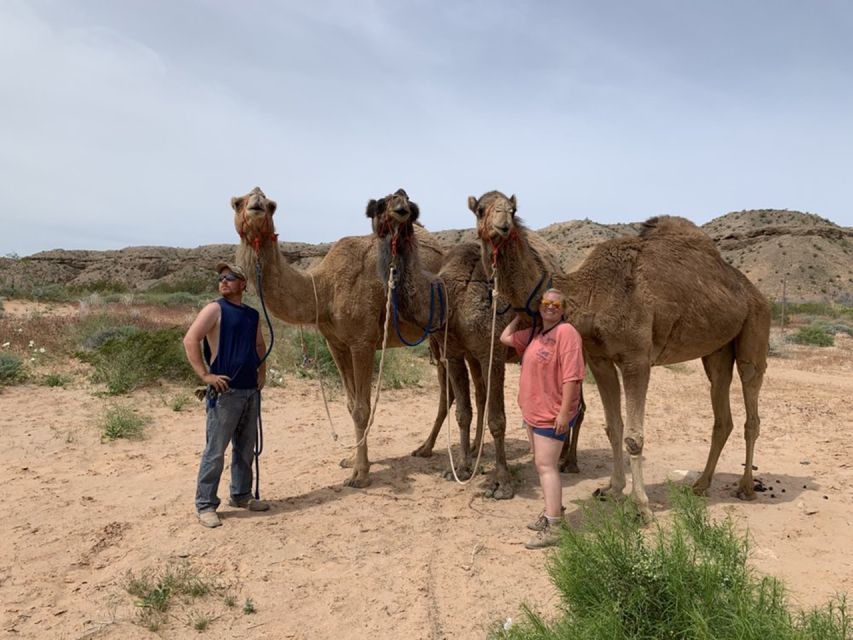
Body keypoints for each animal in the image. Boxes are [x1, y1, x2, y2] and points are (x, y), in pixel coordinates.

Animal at [233, 188, 446, 488]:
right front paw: (350, 460)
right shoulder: (336, 345)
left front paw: (360, 474)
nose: (256, 204)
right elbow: (349, 404)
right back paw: (426, 447)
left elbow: (361, 408)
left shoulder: (362, 342)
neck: (323, 289)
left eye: (271, 206)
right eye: (237, 202)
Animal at [362, 188, 584, 498]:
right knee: (483, 396)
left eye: (408, 205)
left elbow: (497, 418)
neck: (447, 298)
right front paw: (463, 467)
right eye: (380, 205)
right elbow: (464, 412)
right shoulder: (455, 352)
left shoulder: (492, 352)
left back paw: (568, 460)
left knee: (577, 403)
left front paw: (501, 482)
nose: (400, 202)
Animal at [470, 189, 768, 520]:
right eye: (480, 209)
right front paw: (612, 489)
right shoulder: (599, 359)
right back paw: (702, 484)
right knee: (721, 410)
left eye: (512, 209)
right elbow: (614, 428)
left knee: (751, 399)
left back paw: (746, 488)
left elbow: (634, 437)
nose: (502, 226)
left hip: (756, 326)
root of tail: (754, 292)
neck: (589, 294)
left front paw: (641, 506)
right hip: (717, 349)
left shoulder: (636, 358)